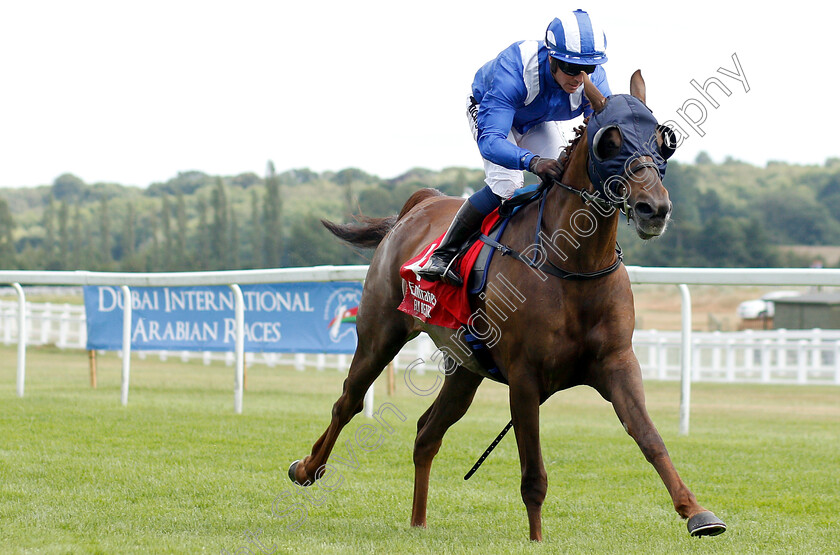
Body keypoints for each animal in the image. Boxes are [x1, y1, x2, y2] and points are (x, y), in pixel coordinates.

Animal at [288, 71, 720, 540]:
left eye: (662, 140)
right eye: (611, 141)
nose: (653, 208)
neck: (571, 266)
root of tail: (420, 204)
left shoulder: (617, 364)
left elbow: (649, 437)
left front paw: (698, 513)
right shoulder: (524, 377)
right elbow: (534, 475)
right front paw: (537, 540)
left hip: (464, 367)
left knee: (426, 433)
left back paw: (418, 522)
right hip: (379, 334)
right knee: (347, 402)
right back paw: (307, 468)